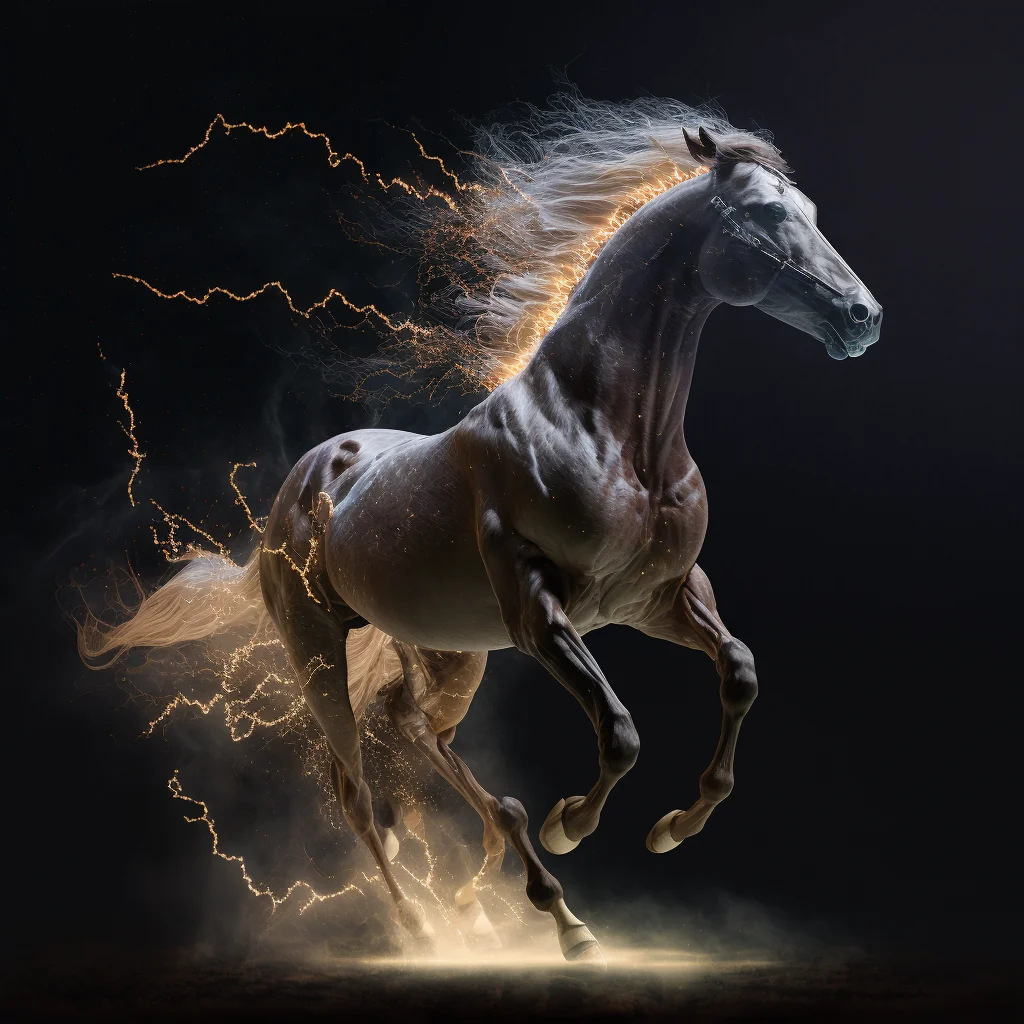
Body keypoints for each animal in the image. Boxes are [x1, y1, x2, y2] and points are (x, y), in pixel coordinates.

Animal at [81, 110, 881, 964]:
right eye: (765, 215)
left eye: (812, 214)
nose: (864, 317)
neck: (606, 430)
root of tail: (295, 489)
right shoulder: (540, 615)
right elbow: (620, 733)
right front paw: (572, 823)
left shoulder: (658, 597)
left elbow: (739, 673)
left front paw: (671, 828)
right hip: (317, 649)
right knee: (355, 786)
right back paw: (428, 925)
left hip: (449, 650)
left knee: (416, 729)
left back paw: (529, 907)